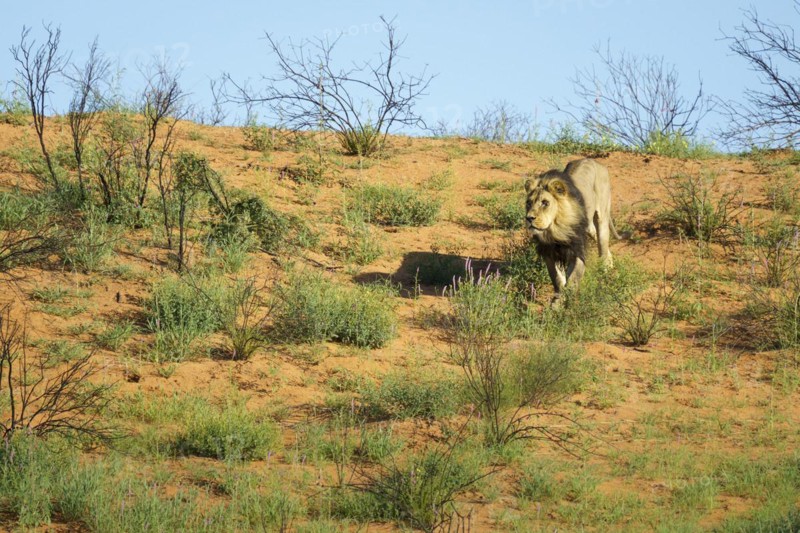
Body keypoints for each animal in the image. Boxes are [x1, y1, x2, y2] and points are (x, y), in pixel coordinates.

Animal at [524, 158, 619, 305]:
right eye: (528, 203)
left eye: (545, 203)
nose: (529, 218)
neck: (555, 229)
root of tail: (593, 161)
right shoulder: (549, 253)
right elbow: (557, 279)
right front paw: (557, 300)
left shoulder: (577, 251)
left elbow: (573, 279)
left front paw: (566, 302)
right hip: (589, 228)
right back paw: (610, 263)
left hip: (602, 217)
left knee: (602, 246)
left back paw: (604, 272)